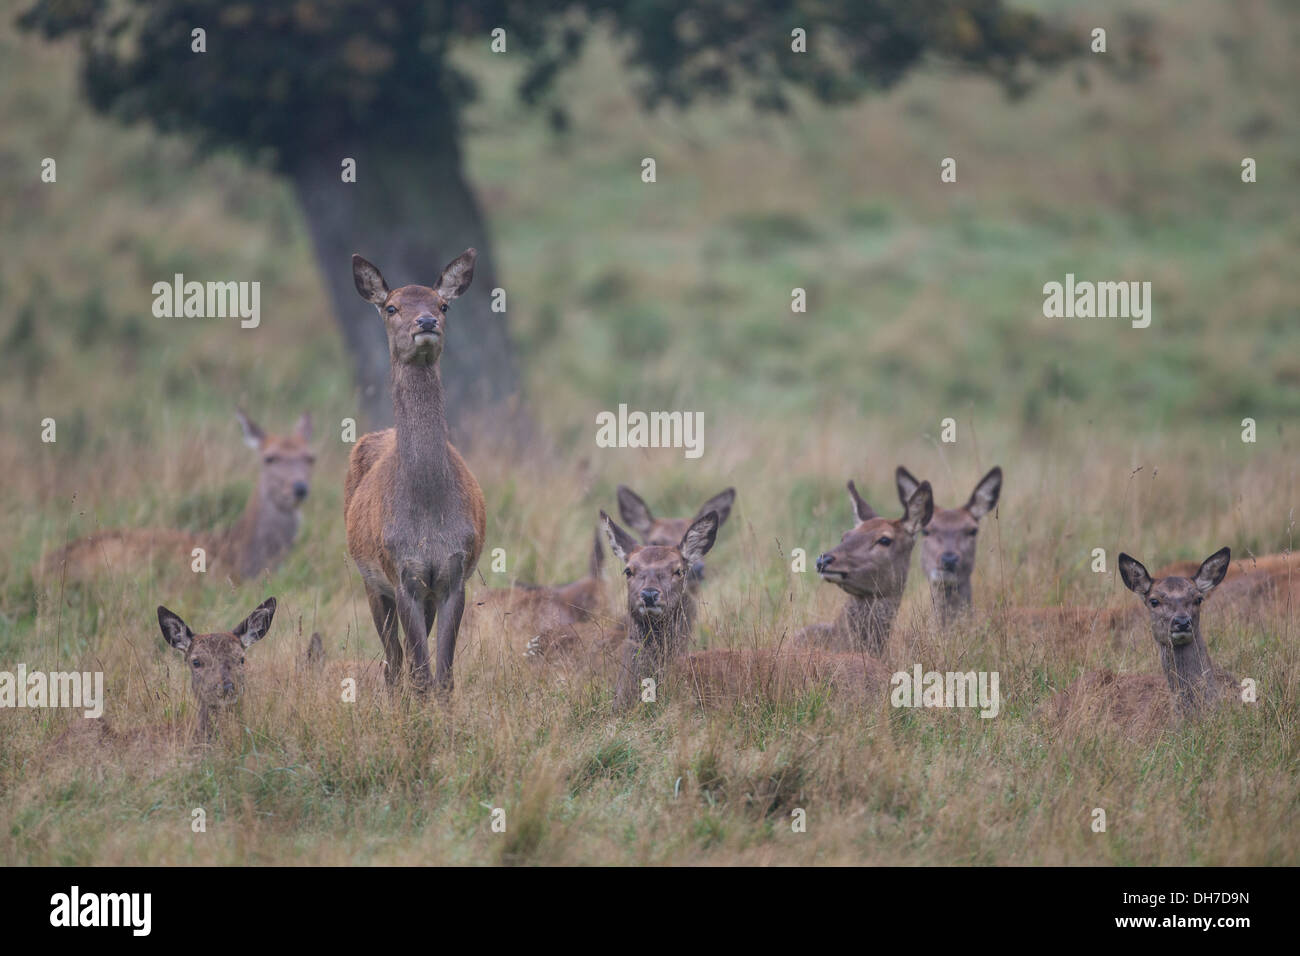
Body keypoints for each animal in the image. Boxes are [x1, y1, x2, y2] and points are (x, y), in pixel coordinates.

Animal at [343, 248, 486, 697]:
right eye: (391, 307)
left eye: (443, 305)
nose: (425, 322)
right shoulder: (400, 573)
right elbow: (421, 672)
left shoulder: (453, 575)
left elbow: (444, 676)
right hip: (370, 582)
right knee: (394, 661)